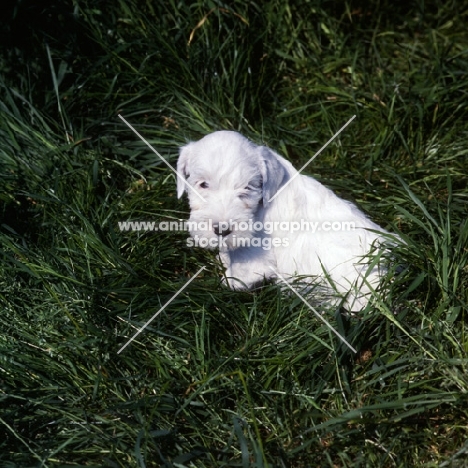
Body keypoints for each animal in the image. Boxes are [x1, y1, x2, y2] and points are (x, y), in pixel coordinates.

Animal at [177, 131, 390, 310]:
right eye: (203, 184)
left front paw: (228, 281)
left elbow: (240, 273)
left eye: (247, 188)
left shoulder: (255, 257)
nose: (222, 230)